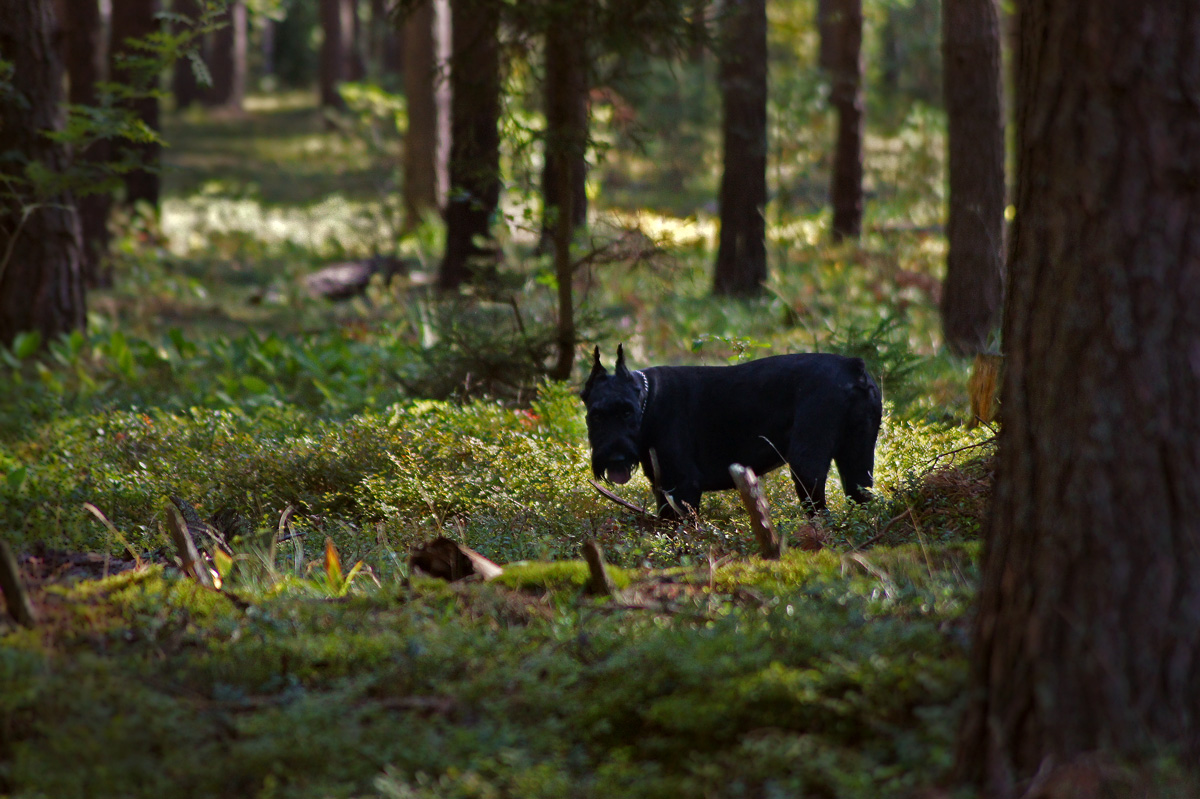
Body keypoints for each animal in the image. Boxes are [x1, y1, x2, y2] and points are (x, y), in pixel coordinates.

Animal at [580, 343, 883, 515]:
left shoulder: (683, 485)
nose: (615, 457)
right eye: (596, 415)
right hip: (857, 459)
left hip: (806, 464)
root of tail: (853, 367)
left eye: (627, 412)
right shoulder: (665, 488)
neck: (647, 401)